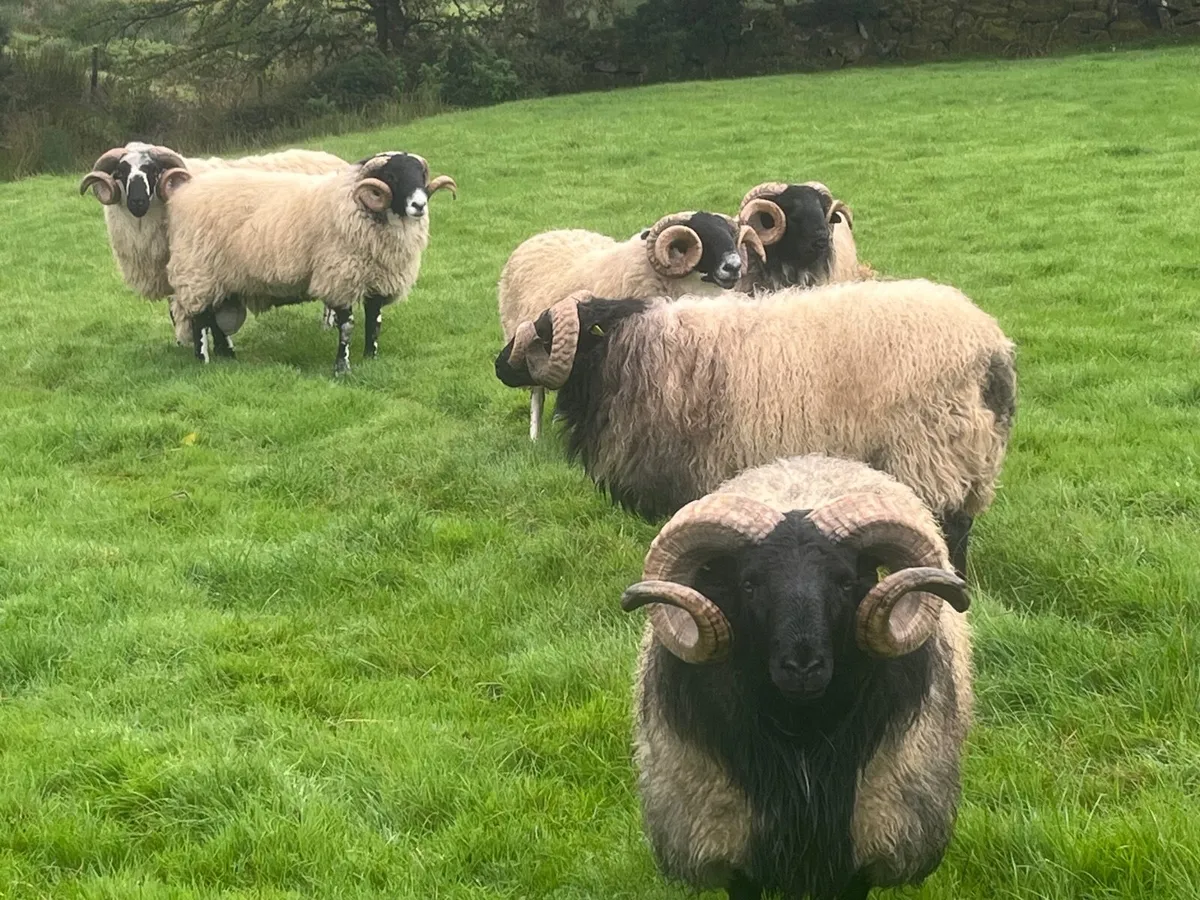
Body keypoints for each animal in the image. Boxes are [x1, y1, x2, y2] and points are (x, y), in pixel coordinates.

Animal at [78, 143, 349, 344]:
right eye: (121, 173)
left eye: (153, 171)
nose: (137, 202)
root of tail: (335, 160)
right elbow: (177, 312)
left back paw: (327, 325)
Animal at [160, 150, 456, 374]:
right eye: (392, 176)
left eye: (420, 175)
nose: (419, 205)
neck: (354, 204)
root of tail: (184, 193)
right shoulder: (339, 277)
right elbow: (347, 326)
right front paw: (342, 368)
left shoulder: (378, 279)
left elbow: (375, 322)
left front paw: (371, 358)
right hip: (198, 271)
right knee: (200, 318)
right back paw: (204, 361)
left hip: (219, 278)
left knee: (214, 318)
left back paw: (228, 357)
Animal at [493, 278, 1016, 576]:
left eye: (544, 334)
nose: (498, 365)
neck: (629, 353)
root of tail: (990, 347)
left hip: (931, 453)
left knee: (950, 532)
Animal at [498, 212, 765, 440]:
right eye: (701, 237)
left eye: (730, 235)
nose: (734, 266)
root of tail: (546, 233)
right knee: (537, 394)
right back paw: (535, 437)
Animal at [621, 452, 972, 900]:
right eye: (748, 584)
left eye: (846, 582)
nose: (802, 666)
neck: (801, 732)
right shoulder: (734, 849)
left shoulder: (861, 849)